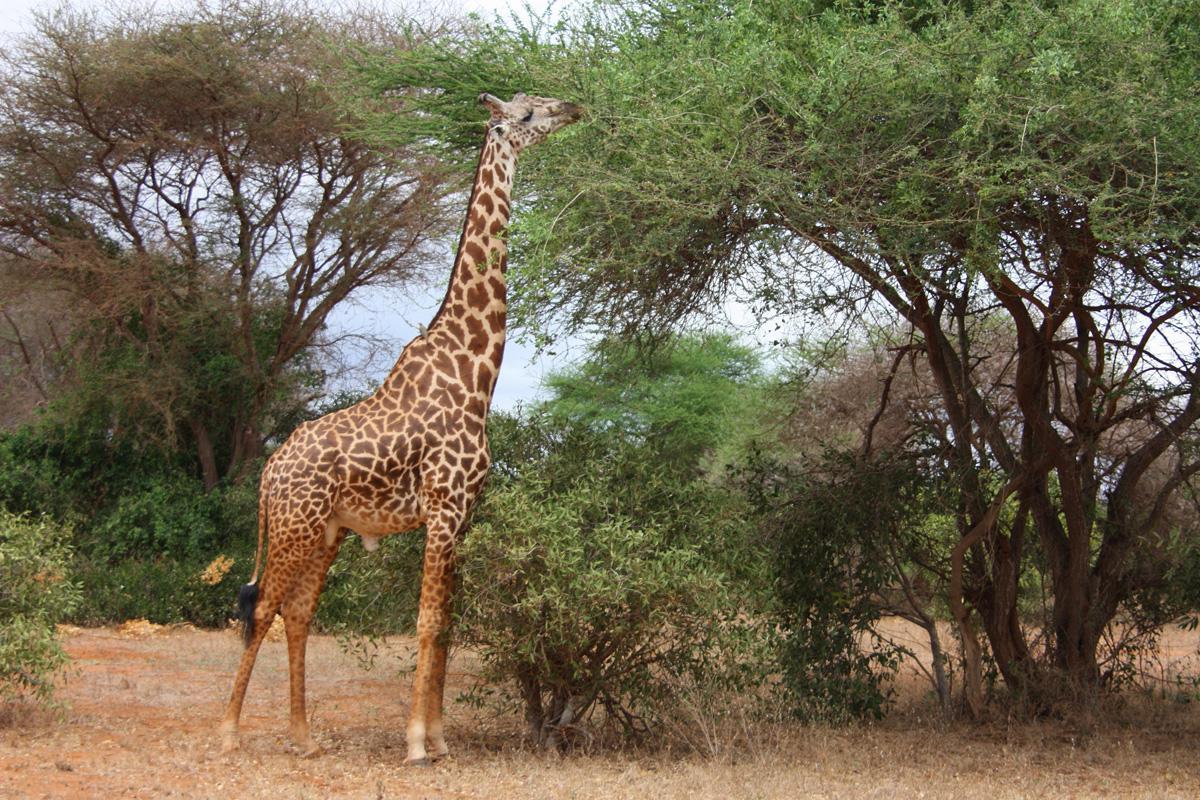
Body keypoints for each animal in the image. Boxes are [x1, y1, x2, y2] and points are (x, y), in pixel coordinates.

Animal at [219, 92, 583, 765]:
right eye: (525, 115)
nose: (571, 107)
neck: (476, 370)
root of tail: (269, 471)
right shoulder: (442, 507)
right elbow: (427, 622)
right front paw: (416, 743)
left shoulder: (464, 513)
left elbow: (448, 626)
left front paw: (439, 738)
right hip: (294, 526)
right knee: (261, 607)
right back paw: (229, 732)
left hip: (325, 531)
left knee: (298, 613)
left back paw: (303, 736)